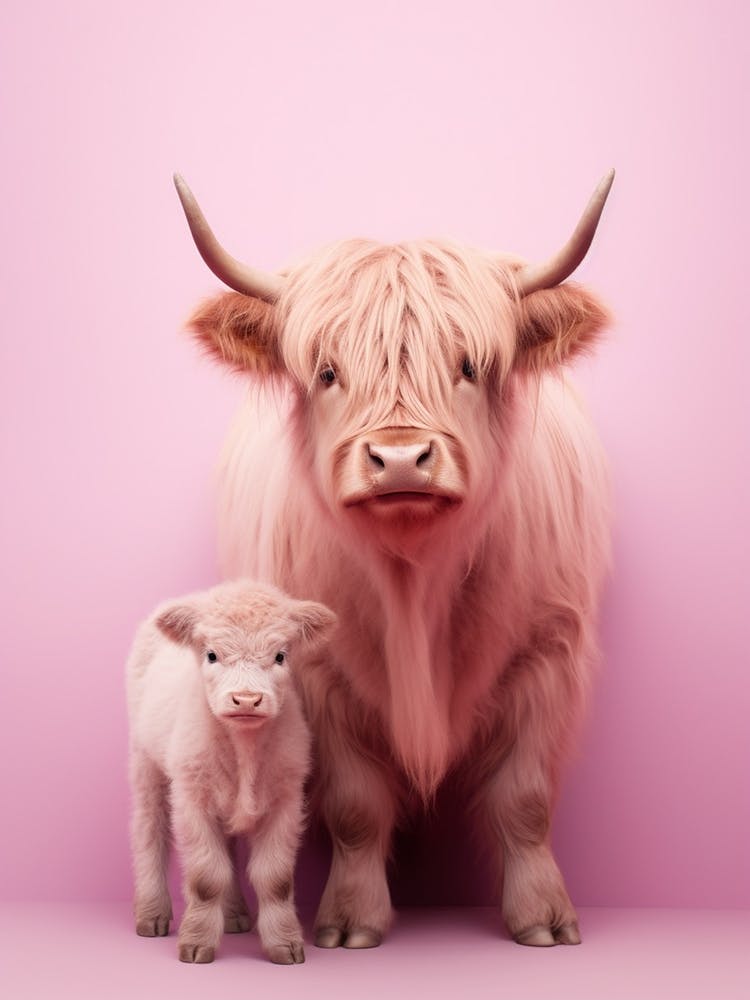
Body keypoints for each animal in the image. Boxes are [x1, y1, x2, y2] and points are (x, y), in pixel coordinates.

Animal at [174, 171, 614, 950]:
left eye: (468, 365)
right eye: (326, 371)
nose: (402, 459)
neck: (414, 581)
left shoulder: (548, 651)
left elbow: (524, 800)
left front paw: (543, 918)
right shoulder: (317, 675)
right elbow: (355, 805)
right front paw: (351, 920)